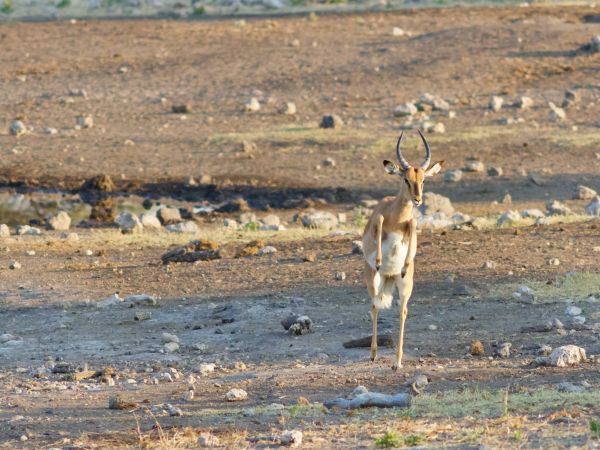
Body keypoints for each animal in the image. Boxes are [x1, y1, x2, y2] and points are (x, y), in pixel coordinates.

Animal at [360, 128, 440, 370]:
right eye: (405, 179)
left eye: (423, 179)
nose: (418, 199)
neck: (396, 216)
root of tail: (388, 276)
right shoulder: (378, 218)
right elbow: (379, 221)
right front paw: (378, 260)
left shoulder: (409, 225)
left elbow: (413, 224)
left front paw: (405, 263)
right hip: (374, 282)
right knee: (375, 306)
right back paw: (373, 354)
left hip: (404, 285)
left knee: (402, 311)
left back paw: (397, 362)